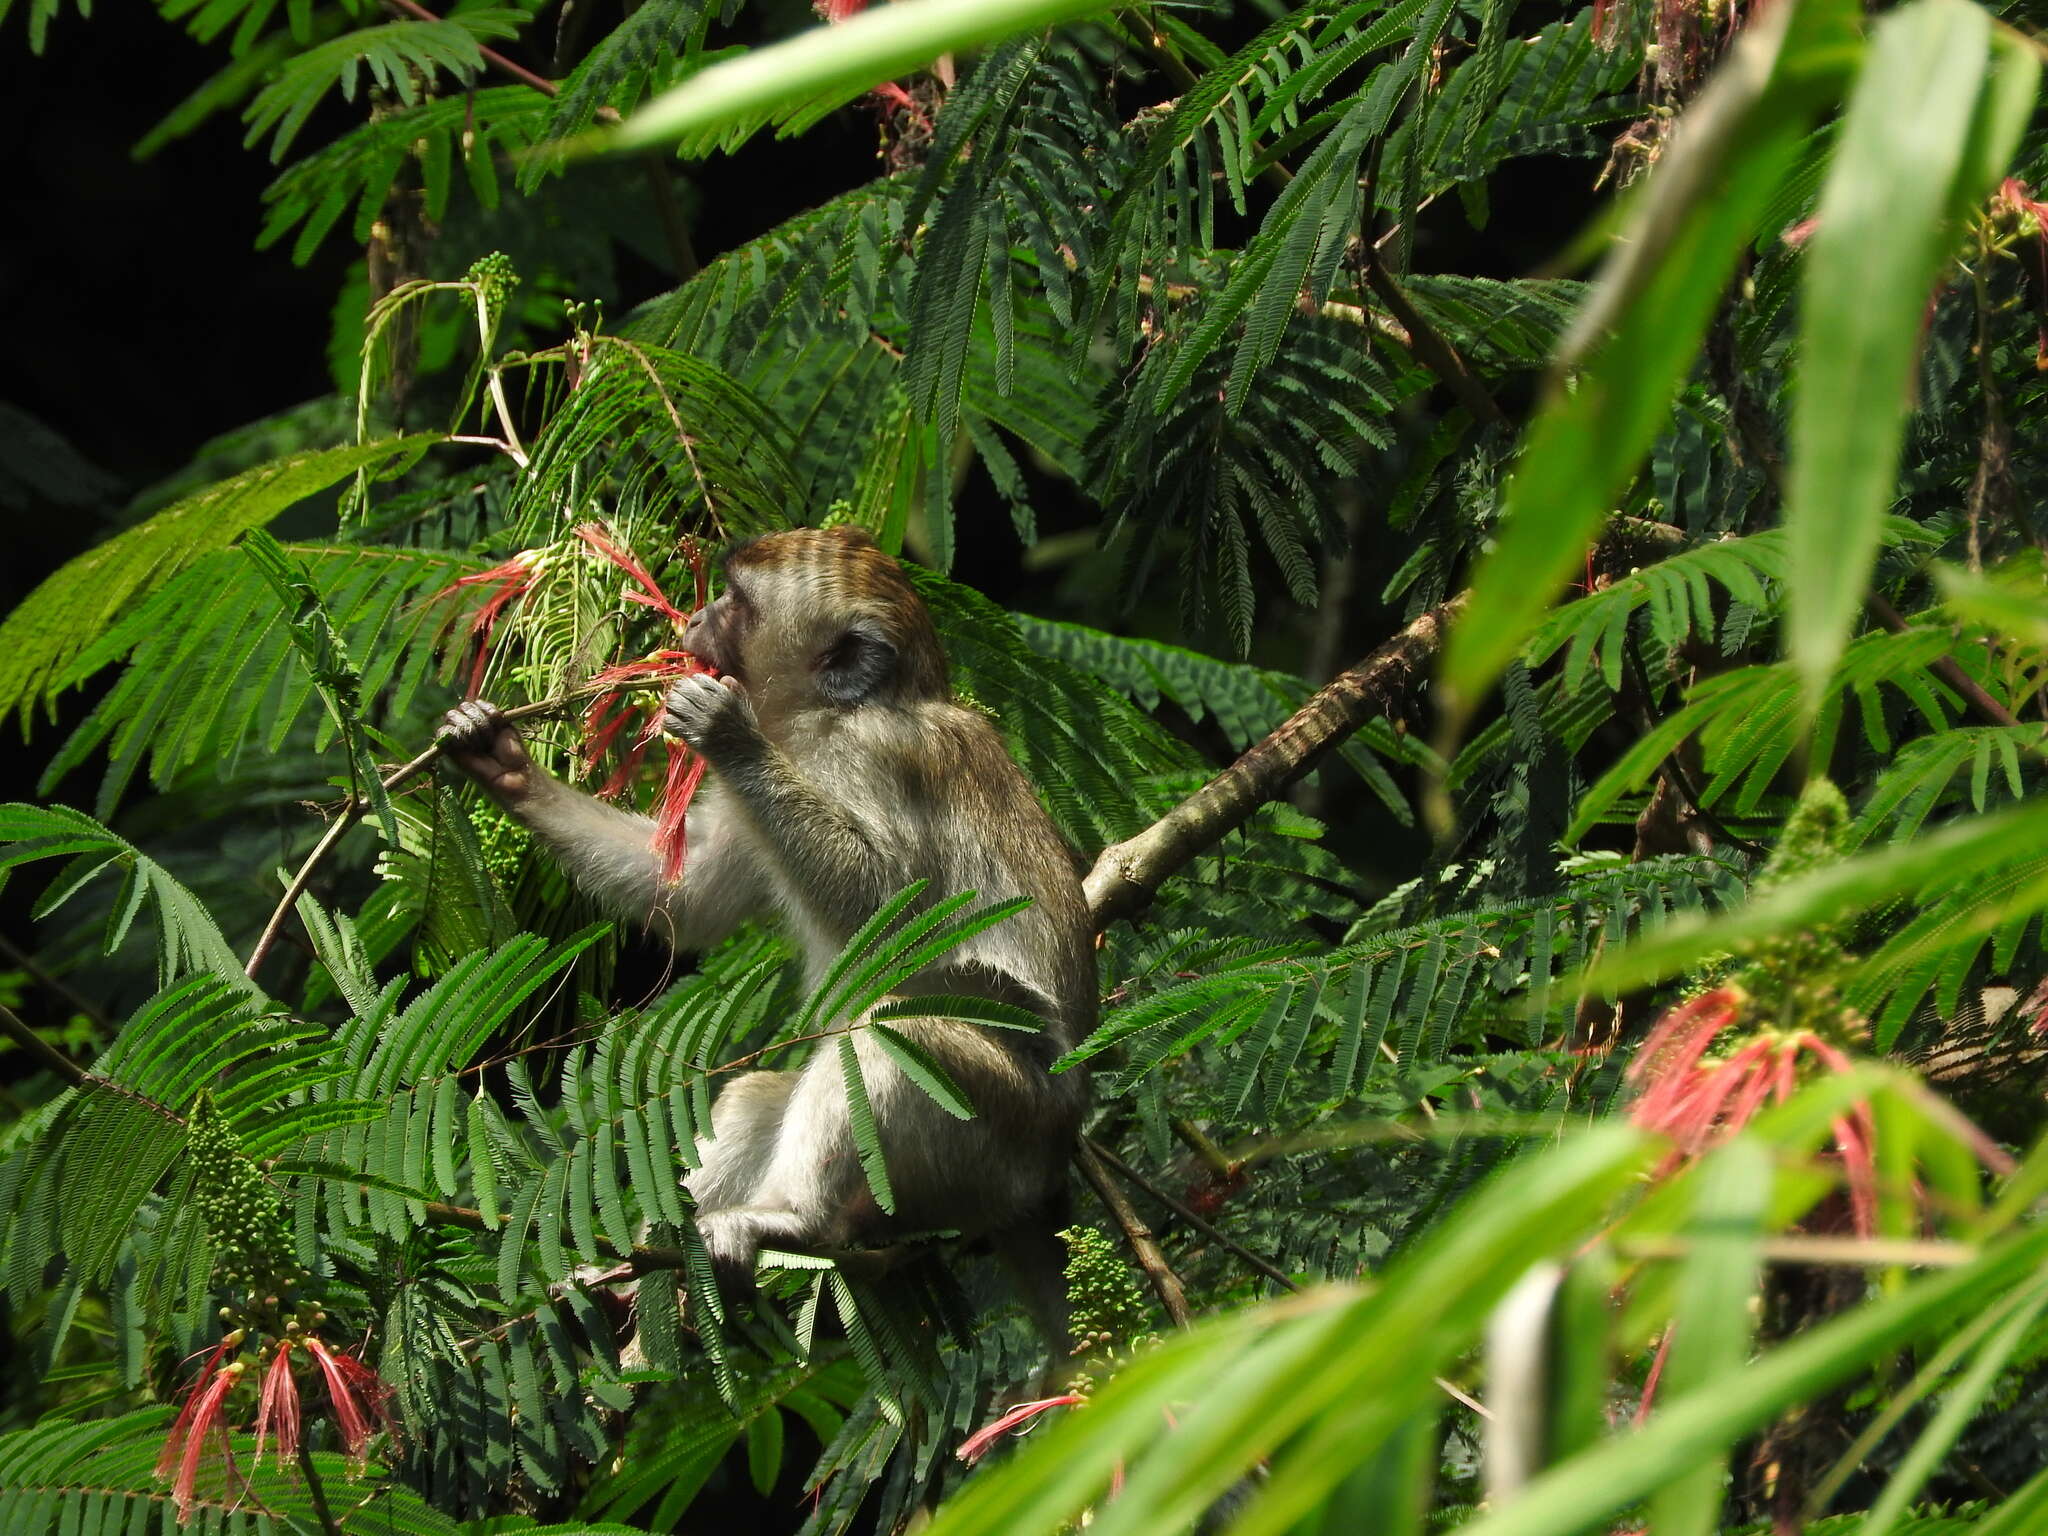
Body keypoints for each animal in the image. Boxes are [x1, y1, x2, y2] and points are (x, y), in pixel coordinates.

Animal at [440, 524, 1097, 1343]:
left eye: (736, 600)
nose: (694, 615)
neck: (820, 721)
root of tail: (1050, 1176)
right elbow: (690, 899)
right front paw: (503, 764)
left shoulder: (872, 758)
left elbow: (894, 913)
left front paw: (727, 733)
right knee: (760, 1091)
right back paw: (638, 1274)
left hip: (1000, 1139)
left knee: (889, 1036)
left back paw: (791, 1221)